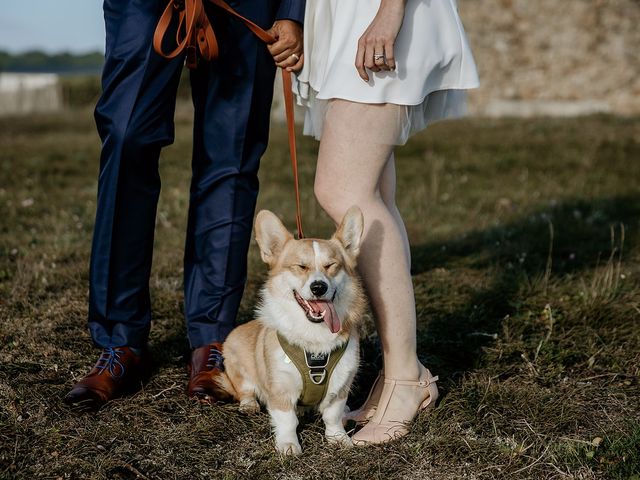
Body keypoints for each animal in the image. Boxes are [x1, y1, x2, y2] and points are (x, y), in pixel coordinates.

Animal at [218, 205, 364, 454]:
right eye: (301, 266)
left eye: (331, 266)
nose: (318, 287)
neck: (314, 337)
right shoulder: (280, 389)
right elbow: (287, 420)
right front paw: (288, 445)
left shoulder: (340, 385)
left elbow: (333, 416)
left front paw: (338, 438)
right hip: (236, 360)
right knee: (245, 390)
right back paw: (249, 404)